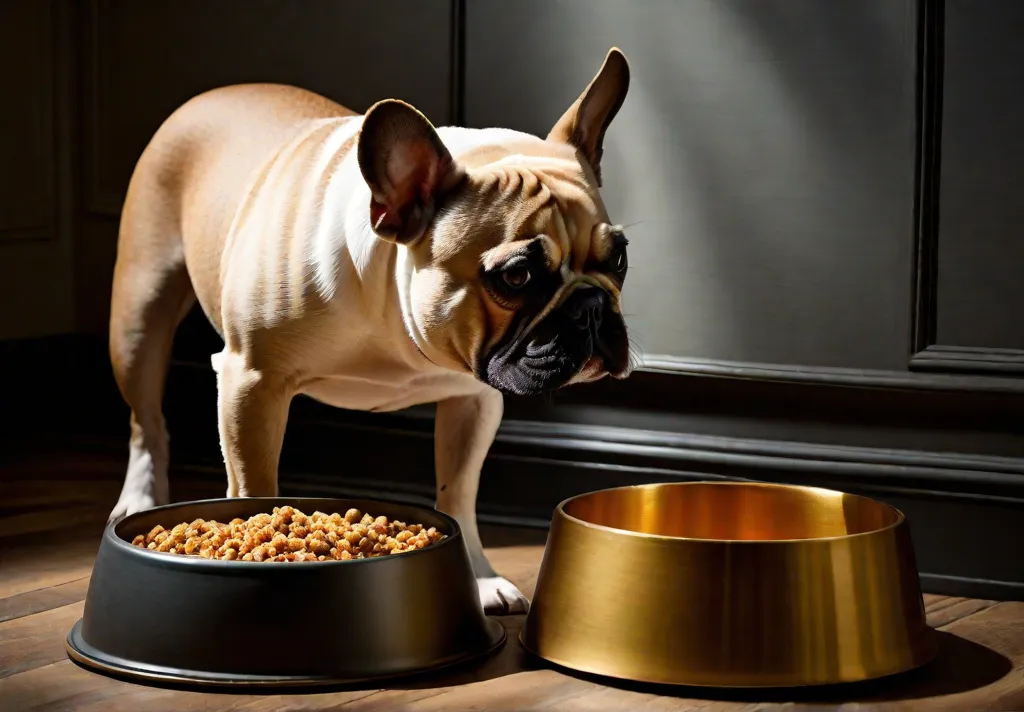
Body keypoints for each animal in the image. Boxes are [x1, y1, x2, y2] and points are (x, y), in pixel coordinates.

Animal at [105, 45, 630, 614]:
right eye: (516, 275)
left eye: (620, 258)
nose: (591, 306)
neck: (390, 308)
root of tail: (211, 96)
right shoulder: (251, 382)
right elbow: (253, 486)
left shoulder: (473, 400)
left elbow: (458, 492)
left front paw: (479, 574)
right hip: (138, 316)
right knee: (145, 419)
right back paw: (138, 496)